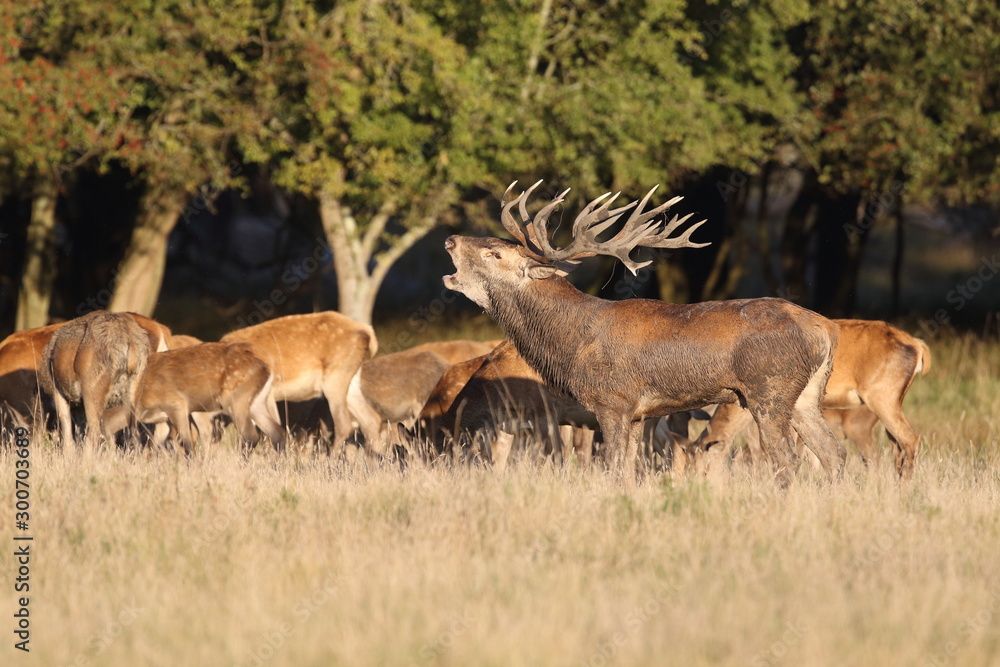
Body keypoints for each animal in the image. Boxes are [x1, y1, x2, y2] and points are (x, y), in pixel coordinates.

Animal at [39, 311, 151, 450]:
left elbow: (67, 432)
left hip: (92, 385)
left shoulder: (57, 390)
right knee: (133, 433)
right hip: (135, 386)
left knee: (94, 432)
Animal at [133, 342, 284, 455]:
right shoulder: (162, 420)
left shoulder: (176, 404)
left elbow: (187, 443)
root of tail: (268, 363)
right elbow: (155, 445)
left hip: (234, 398)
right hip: (256, 402)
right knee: (277, 433)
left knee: (249, 436)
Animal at [220, 312, 383, 455]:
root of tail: (367, 331)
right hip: (351, 381)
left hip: (335, 377)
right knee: (371, 419)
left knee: (344, 424)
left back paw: (332, 462)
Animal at [443, 181, 846, 486]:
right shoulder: (639, 413)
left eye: (494, 253)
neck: (570, 342)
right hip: (806, 395)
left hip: (769, 389)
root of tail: (826, 329)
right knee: (834, 452)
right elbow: (629, 471)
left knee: (788, 459)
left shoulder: (612, 401)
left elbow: (611, 468)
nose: (450, 240)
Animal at [683, 319, 931, 480]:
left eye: (700, 469)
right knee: (897, 445)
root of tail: (919, 346)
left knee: (910, 439)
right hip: (892, 398)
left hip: (881, 394)